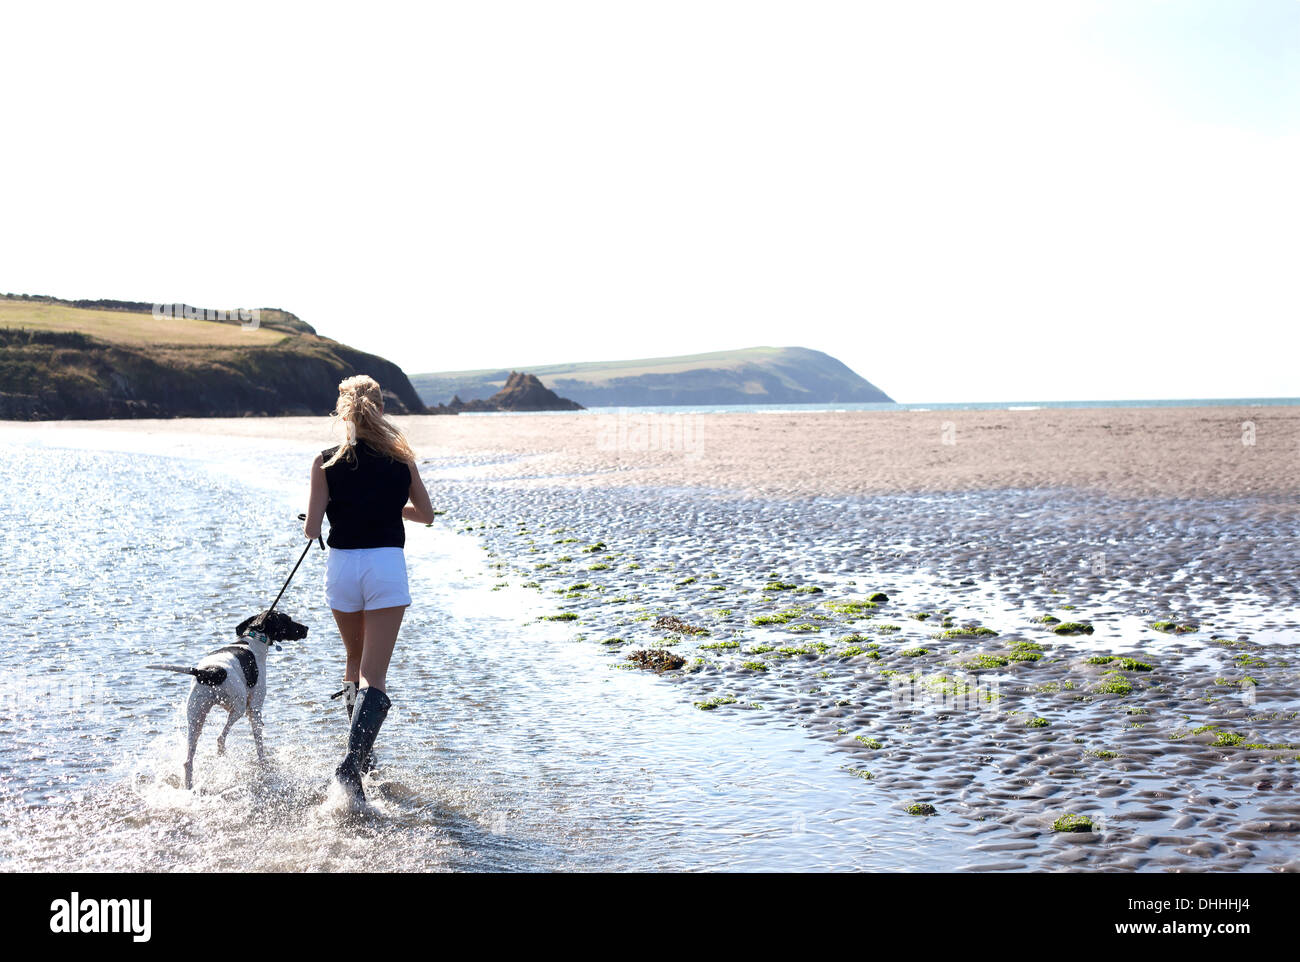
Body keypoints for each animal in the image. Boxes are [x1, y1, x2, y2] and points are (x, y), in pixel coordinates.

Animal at [148, 608, 308, 790]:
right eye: (288, 620)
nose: (306, 628)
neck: (254, 639)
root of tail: (210, 671)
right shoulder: (254, 709)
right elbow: (259, 744)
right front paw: (263, 763)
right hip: (238, 707)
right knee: (220, 737)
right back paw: (221, 753)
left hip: (196, 717)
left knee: (188, 761)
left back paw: (189, 786)